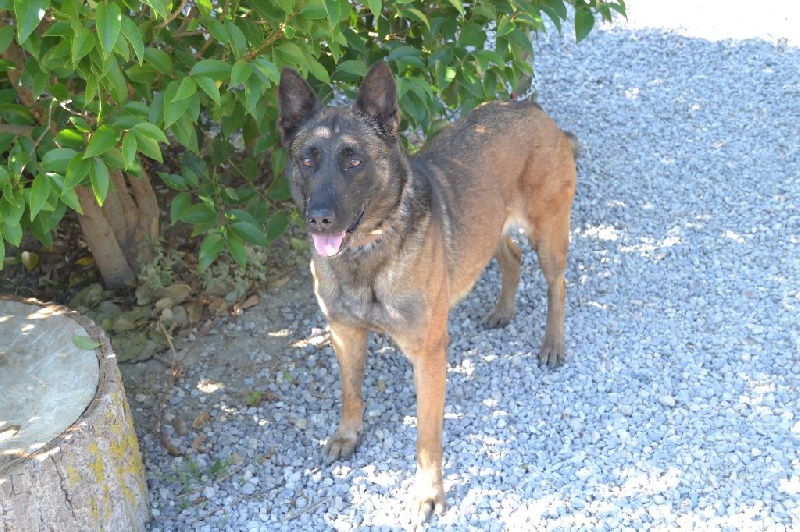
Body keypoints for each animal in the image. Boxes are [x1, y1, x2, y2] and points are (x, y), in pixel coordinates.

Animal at [278, 61, 577, 522]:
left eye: (354, 161)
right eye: (307, 159)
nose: (319, 219)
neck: (366, 253)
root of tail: (528, 107)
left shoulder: (429, 354)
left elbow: (426, 436)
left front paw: (428, 492)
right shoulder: (344, 334)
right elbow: (350, 393)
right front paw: (347, 435)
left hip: (547, 234)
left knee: (556, 284)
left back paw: (553, 342)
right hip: (489, 229)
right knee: (511, 258)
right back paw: (502, 310)